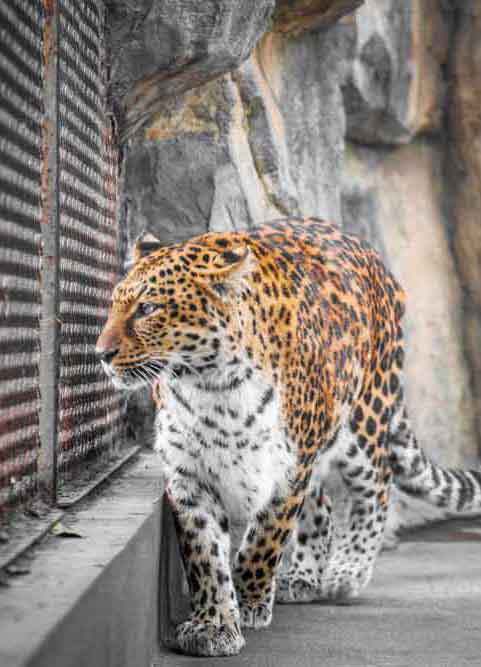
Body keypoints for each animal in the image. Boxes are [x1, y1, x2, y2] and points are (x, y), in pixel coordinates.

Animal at [96, 217, 481, 657]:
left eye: (148, 308)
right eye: (114, 305)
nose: (101, 354)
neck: (213, 387)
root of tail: (365, 251)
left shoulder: (289, 469)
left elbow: (263, 542)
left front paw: (248, 602)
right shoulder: (189, 475)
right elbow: (205, 555)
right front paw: (214, 624)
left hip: (363, 419)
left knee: (377, 487)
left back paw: (346, 571)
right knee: (323, 506)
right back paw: (303, 577)